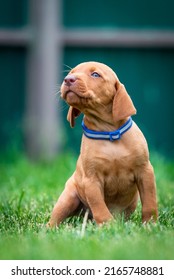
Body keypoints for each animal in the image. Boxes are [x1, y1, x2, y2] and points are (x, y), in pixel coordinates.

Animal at [47, 61, 158, 228]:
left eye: (95, 74)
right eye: (71, 72)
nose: (68, 79)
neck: (108, 133)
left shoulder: (145, 171)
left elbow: (150, 202)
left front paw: (149, 224)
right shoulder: (91, 180)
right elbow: (99, 206)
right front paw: (109, 226)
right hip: (68, 197)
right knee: (55, 219)